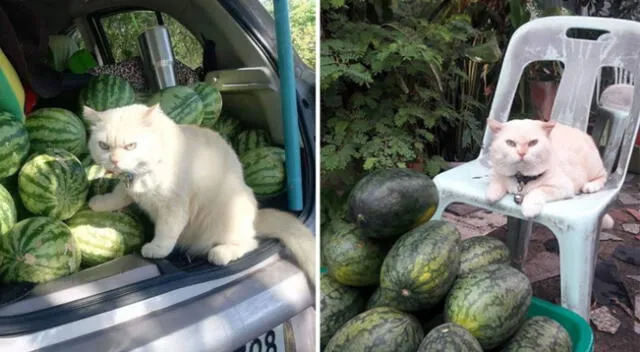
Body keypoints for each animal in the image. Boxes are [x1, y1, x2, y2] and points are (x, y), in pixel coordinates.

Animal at [82, 103, 318, 284]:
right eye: (103, 145)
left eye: (131, 146)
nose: (114, 161)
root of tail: (255, 217)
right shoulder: (128, 186)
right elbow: (117, 195)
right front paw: (98, 203)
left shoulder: (174, 207)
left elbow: (166, 232)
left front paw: (156, 249)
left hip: (226, 217)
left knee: (250, 242)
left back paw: (221, 253)